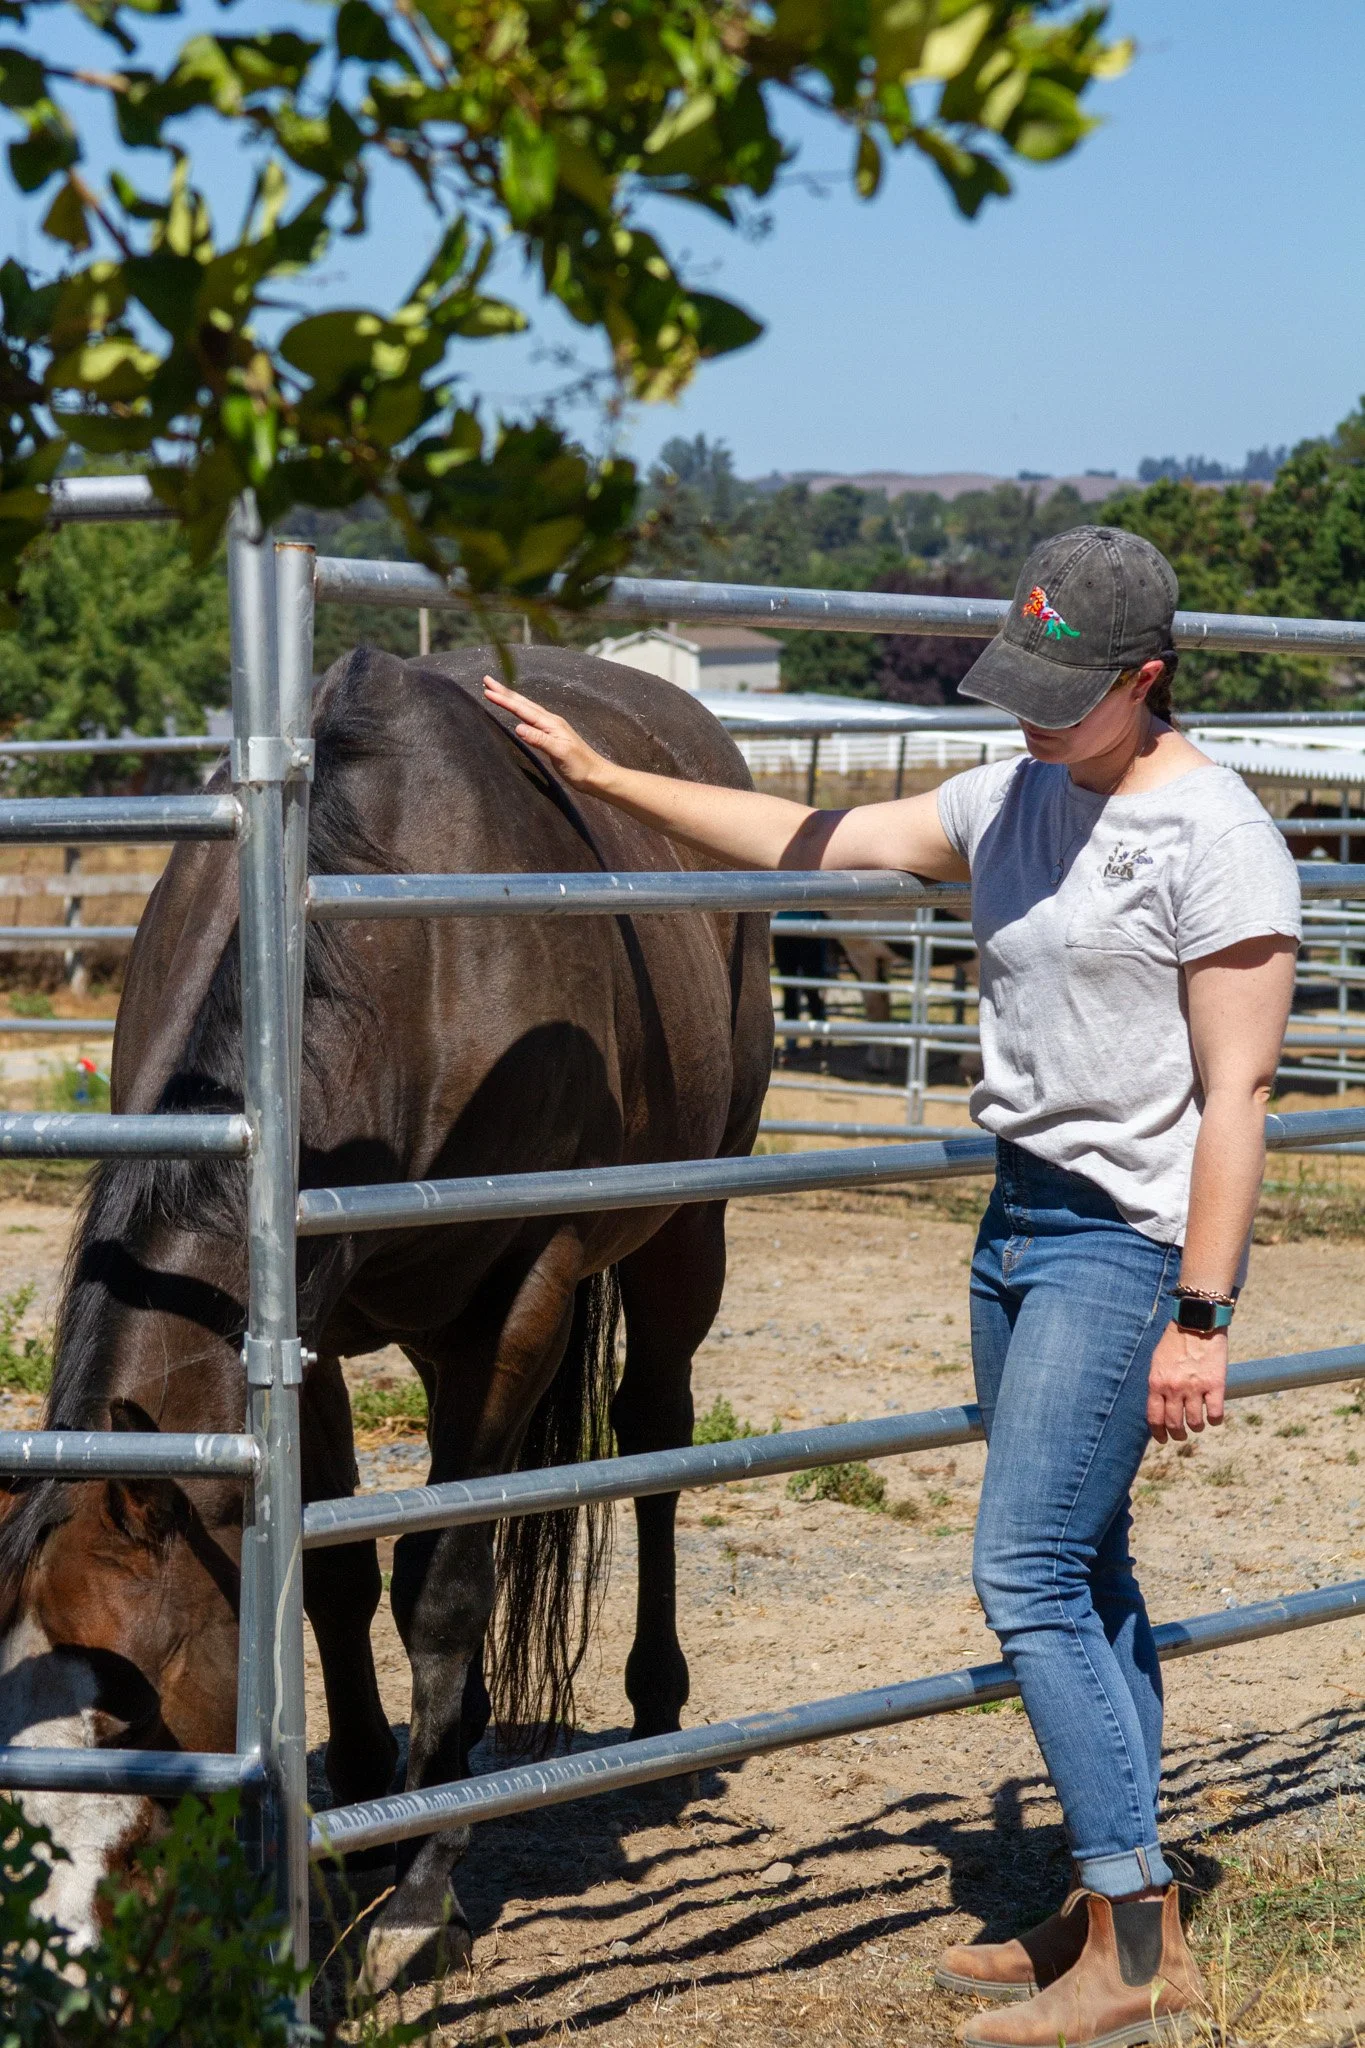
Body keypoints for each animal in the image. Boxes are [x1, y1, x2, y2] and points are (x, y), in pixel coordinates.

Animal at [0, 644, 773, 1986]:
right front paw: (354, 1815)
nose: (69, 1979)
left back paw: (649, 1701)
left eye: (134, 1723)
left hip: (683, 1230)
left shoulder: (519, 1305)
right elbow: (337, 1576)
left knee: (653, 1437)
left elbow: (443, 1589)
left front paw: (419, 1893)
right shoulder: (296, 1322)